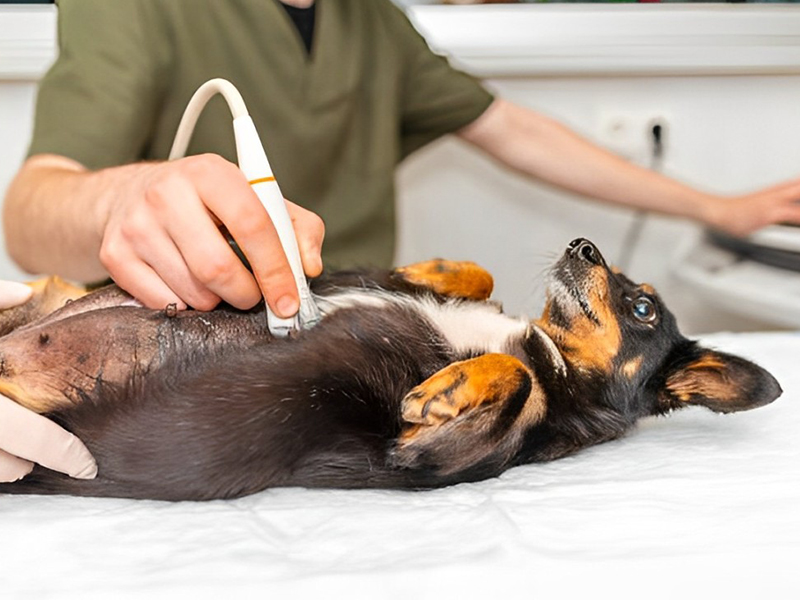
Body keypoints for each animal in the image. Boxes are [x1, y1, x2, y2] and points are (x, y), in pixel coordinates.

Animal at [0, 239, 780, 502]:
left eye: (642, 306)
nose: (582, 244)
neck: (550, 349)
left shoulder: (417, 461)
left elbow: (516, 381)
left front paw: (443, 390)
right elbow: (475, 275)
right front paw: (431, 269)